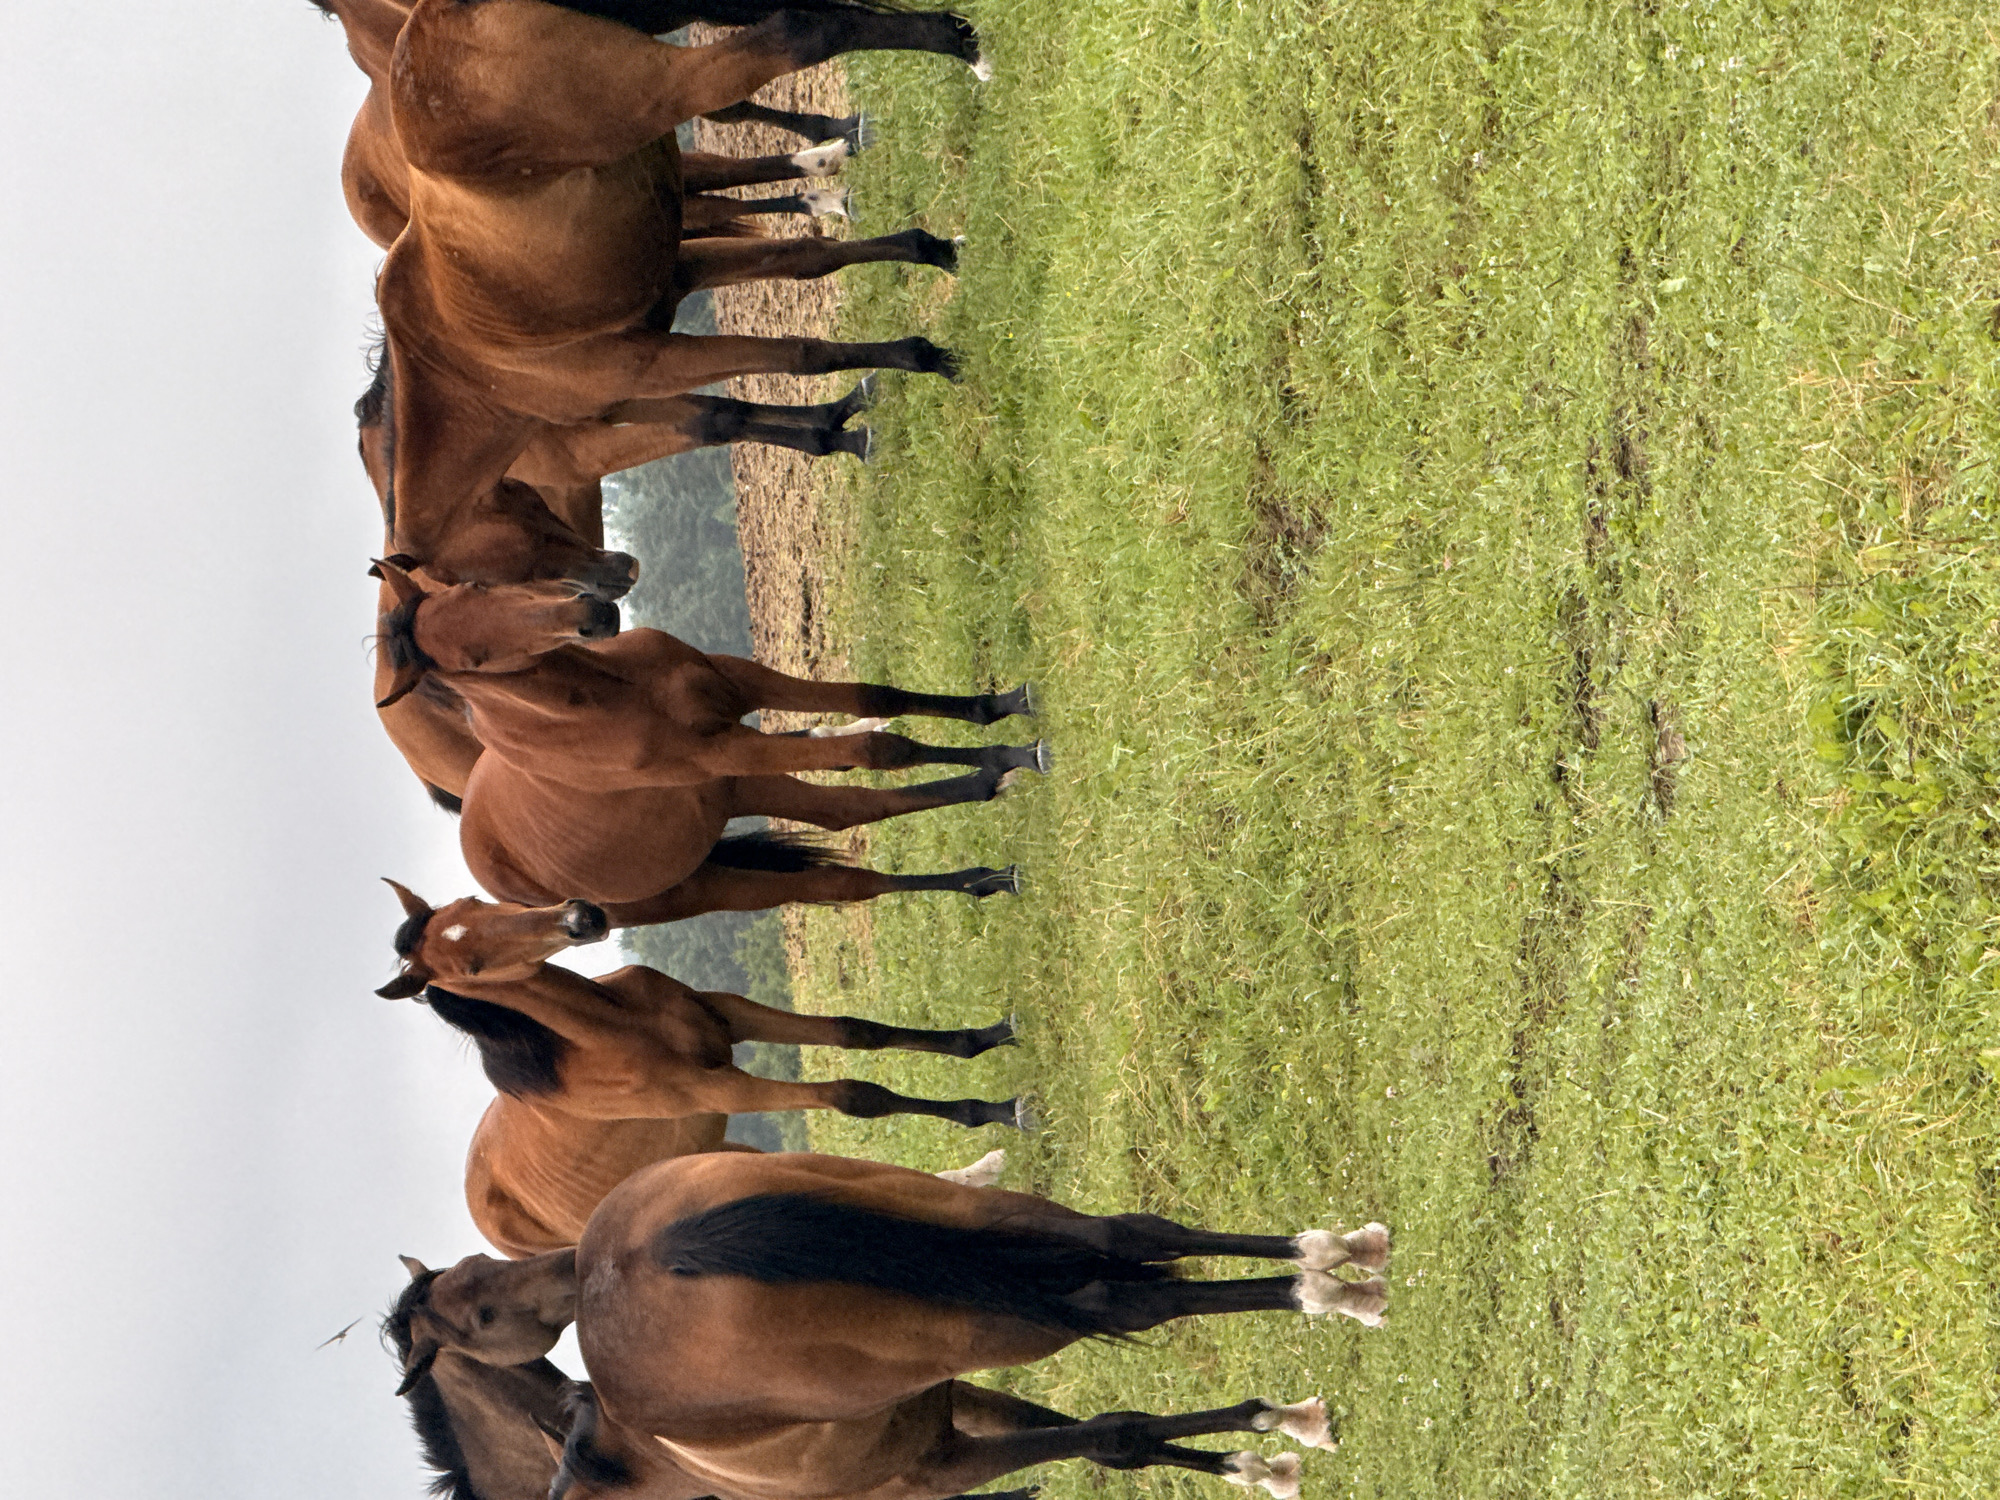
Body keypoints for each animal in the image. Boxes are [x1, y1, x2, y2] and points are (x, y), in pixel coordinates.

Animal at [373, 882, 1029, 1252]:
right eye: (473, 969)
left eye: (473, 903)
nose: (581, 918)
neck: (608, 1033)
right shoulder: (726, 1090)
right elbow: (854, 1095)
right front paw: (1000, 1110)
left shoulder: (729, 1015)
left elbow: (859, 1032)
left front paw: (991, 1037)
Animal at [390, 1152, 1391, 1500]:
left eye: (480, 1310)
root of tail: (655, 1249)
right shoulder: (950, 1414)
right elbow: (1122, 1435)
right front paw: (1261, 1449)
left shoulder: (936, 1463)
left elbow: (1112, 1438)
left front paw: (1265, 1450)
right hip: (978, 1242)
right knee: (1132, 1242)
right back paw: (1334, 1264)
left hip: (986, 1314)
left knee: (1128, 1295)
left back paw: (1327, 1288)